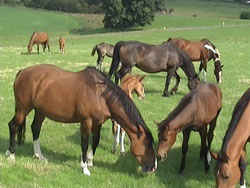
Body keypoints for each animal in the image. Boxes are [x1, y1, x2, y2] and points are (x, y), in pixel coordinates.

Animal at [5, 64, 156, 176]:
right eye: (147, 144)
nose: (153, 167)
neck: (99, 93)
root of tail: (22, 72)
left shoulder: (98, 123)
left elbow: (95, 141)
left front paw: (90, 161)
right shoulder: (86, 121)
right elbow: (84, 144)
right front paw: (84, 168)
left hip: (40, 111)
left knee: (35, 128)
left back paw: (39, 156)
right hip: (23, 108)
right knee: (13, 125)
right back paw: (11, 155)